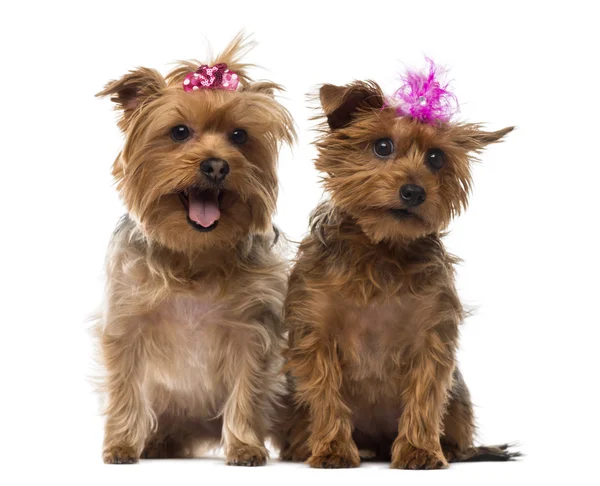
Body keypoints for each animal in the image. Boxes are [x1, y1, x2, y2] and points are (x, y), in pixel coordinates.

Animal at [278, 59, 516, 468]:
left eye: (436, 158)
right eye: (382, 146)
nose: (414, 191)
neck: (381, 249)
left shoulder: (431, 334)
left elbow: (424, 395)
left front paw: (420, 450)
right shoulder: (316, 330)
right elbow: (325, 394)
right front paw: (333, 449)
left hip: (459, 402)